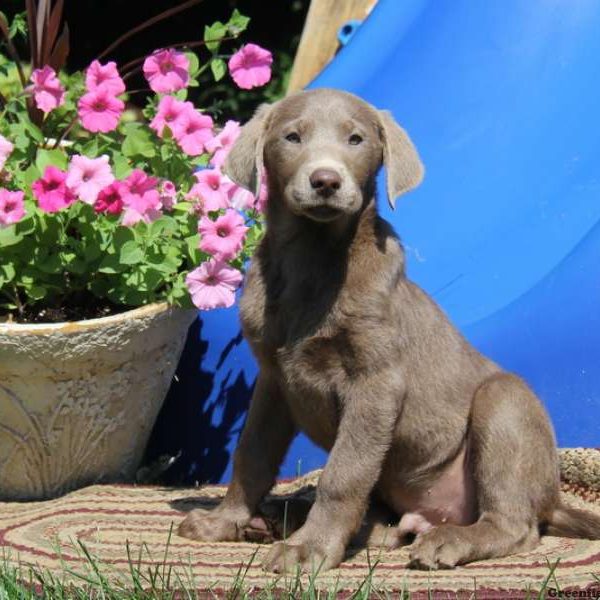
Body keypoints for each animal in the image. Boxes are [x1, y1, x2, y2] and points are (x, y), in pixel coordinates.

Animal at [178, 88, 600, 572]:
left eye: (356, 139)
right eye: (292, 137)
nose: (326, 181)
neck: (313, 260)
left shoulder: (376, 383)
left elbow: (344, 473)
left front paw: (309, 549)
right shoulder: (273, 379)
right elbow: (251, 455)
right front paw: (222, 522)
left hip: (505, 402)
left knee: (515, 525)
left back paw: (448, 541)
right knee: (387, 524)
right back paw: (287, 517)